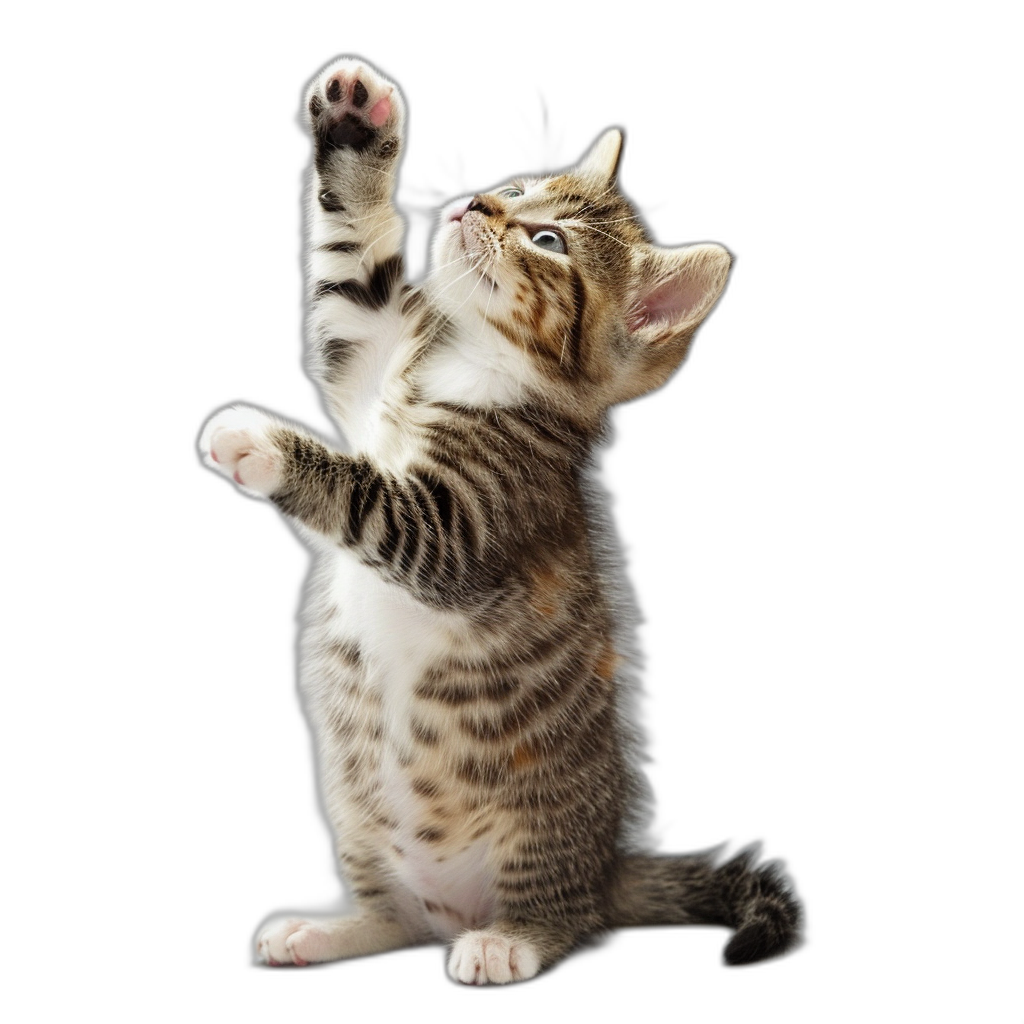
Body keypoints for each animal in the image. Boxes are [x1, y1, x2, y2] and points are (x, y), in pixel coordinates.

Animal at [199, 56, 802, 983]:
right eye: (515, 187)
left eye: (547, 240)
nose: (480, 204)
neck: (458, 362)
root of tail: (608, 868)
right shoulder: (366, 361)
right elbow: (350, 284)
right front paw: (357, 121)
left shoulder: (464, 526)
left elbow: (369, 495)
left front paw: (258, 440)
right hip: (361, 824)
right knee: (401, 921)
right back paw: (332, 931)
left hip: (538, 831)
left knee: (566, 918)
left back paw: (511, 942)